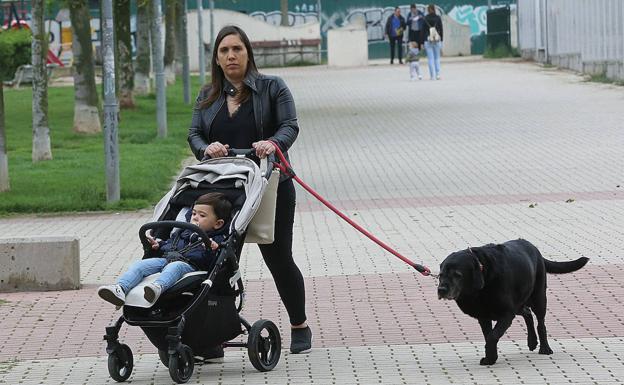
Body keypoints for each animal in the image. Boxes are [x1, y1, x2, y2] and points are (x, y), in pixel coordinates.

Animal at [436, 238, 588, 364]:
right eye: (440, 275)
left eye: (457, 275)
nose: (441, 290)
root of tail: (534, 248)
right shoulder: (484, 316)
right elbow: (488, 335)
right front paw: (491, 358)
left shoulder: (507, 314)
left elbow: (492, 336)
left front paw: (490, 357)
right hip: (519, 302)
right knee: (527, 313)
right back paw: (532, 341)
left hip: (538, 297)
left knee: (540, 322)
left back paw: (545, 348)